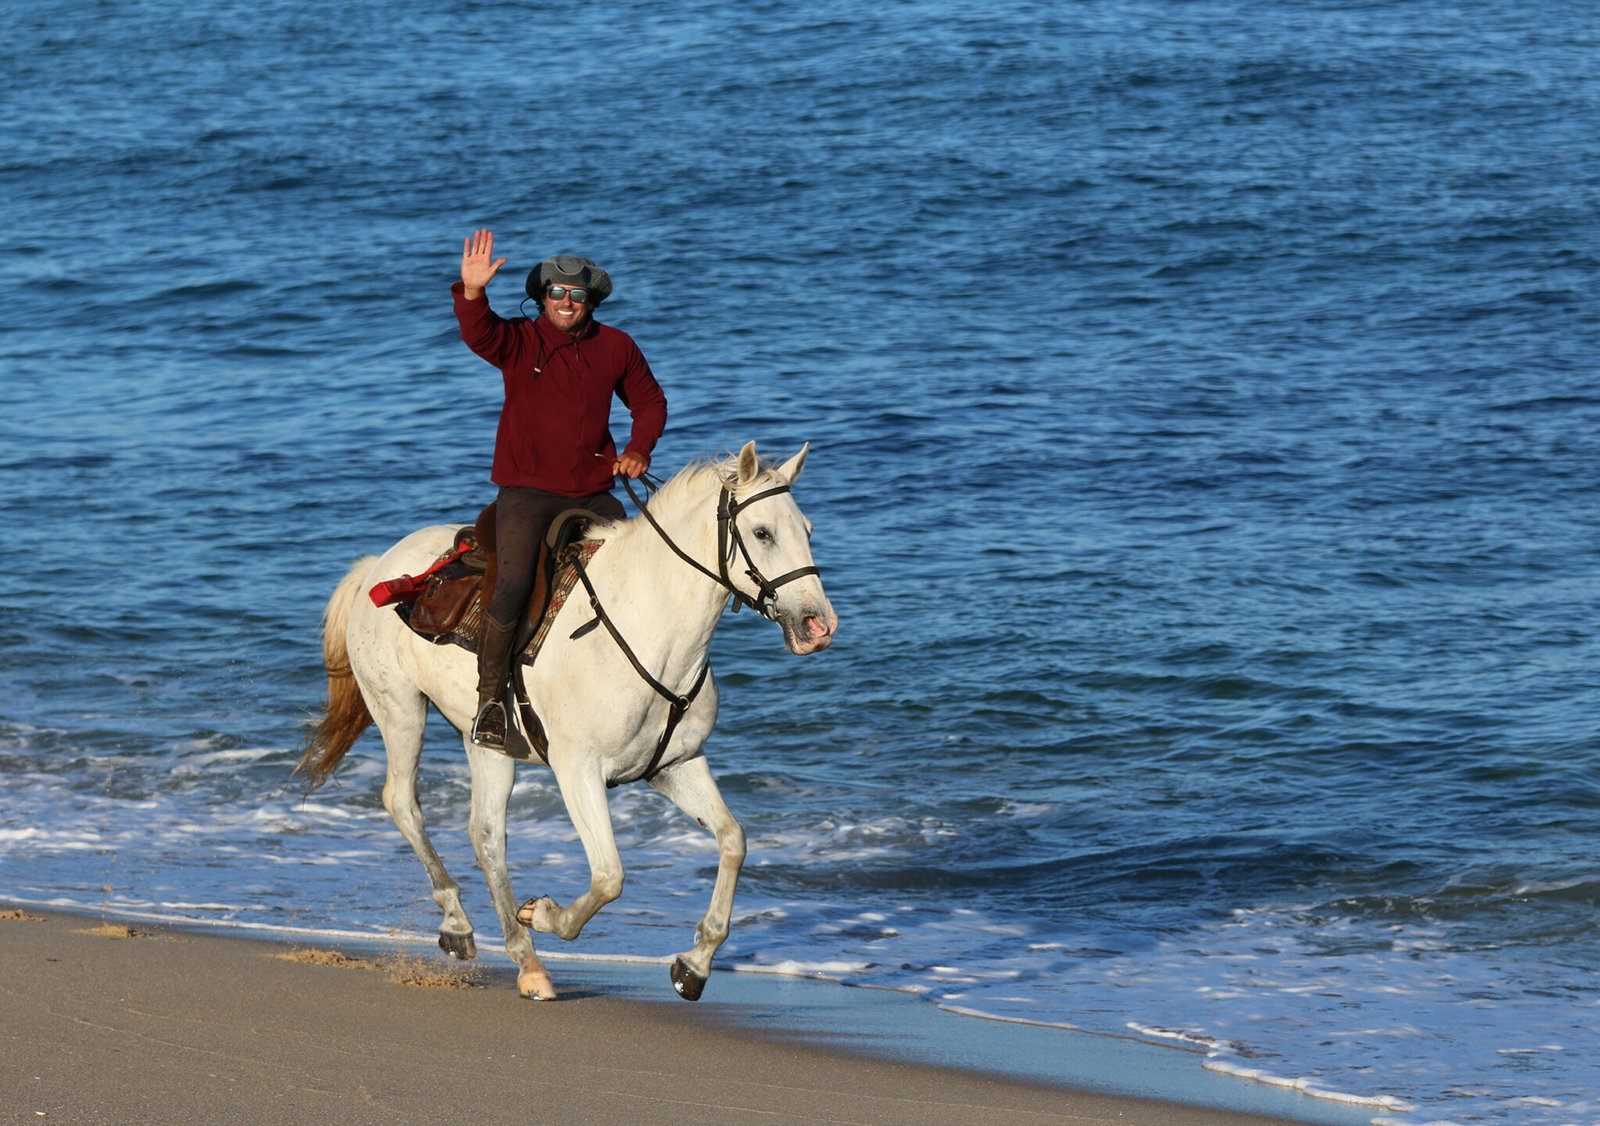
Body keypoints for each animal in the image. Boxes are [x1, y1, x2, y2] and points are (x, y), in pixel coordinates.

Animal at [297, 442, 837, 1000]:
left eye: (807, 529)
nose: (819, 625)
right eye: (762, 533)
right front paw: (543, 913)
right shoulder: (578, 772)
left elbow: (733, 841)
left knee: (486, 834)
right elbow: (609, 876)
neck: (647, 627)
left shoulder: (676, 766)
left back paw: (526, 961)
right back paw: (460, 924)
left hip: (487, 744)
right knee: (403, 803)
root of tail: (376, 567)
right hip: (400, 710)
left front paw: (695, 964)